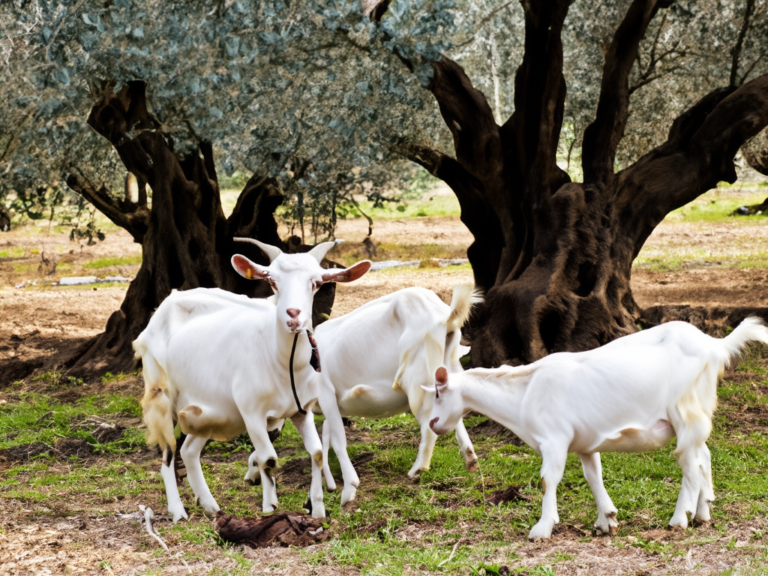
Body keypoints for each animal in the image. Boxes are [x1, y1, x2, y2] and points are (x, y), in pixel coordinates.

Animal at [134, 238, 368, 520]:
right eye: (272, 281)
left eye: (316, 282)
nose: (293, 314)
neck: (281, 361)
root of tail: (168, 301)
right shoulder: (251, 411)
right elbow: (269, 458)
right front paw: (270, 506)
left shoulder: (301, 410)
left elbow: (317, 453)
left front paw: (317, 509)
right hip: (162, 393)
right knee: (168, 451)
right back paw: (178, 511)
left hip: (210, 410)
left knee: (188, 450)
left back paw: (211, 506)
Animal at [426, 318, 768, 536]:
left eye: (439, 393)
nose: (433, 423)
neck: (525, 392)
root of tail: (714, 345)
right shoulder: (584, 444)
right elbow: (594, 477)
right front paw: (607, 520)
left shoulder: (554, 441)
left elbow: (548, 480)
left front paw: (542, 528)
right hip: (696, 415)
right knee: (703, 457)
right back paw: (702, 514)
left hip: (685, 412)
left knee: (690, 466)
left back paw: (679, 519)